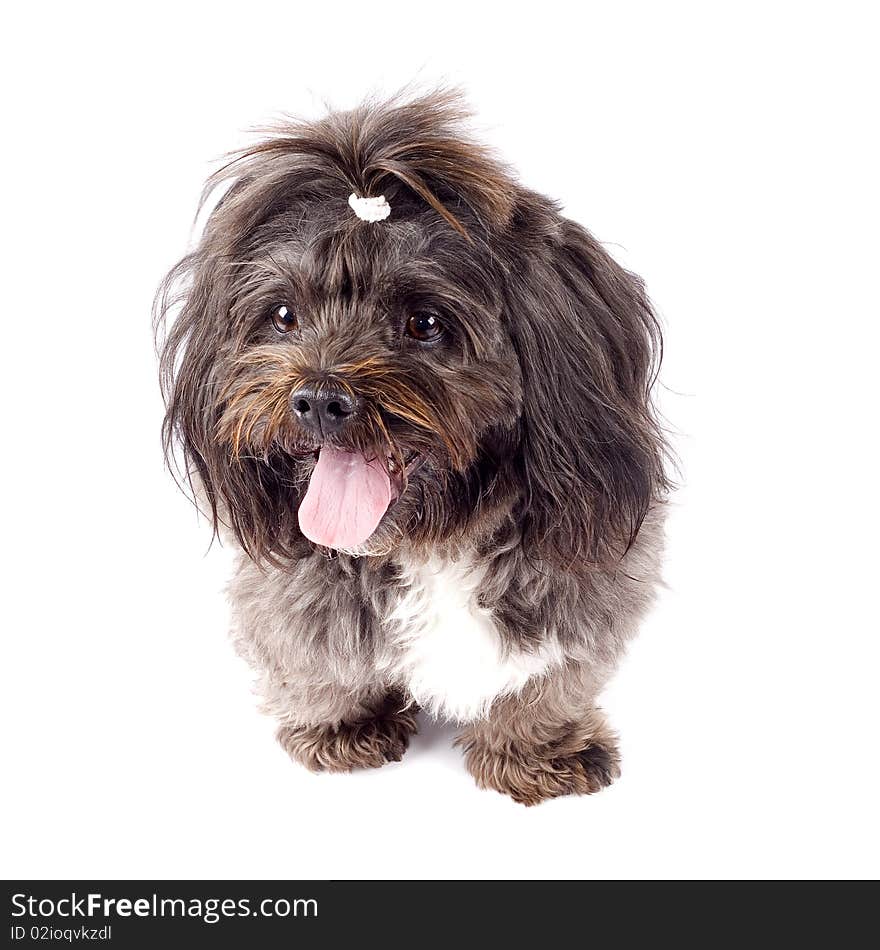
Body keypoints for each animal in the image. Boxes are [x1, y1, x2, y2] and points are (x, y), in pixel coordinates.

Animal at [156, 89, 668, 808]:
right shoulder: (292, 597)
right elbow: (314, 659)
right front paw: (342, 724)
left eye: (425, 323)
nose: (318, 397)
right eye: (284, 315)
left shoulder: (585, 577)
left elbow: (549, 680)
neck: (431, 544)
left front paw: (536, 749)